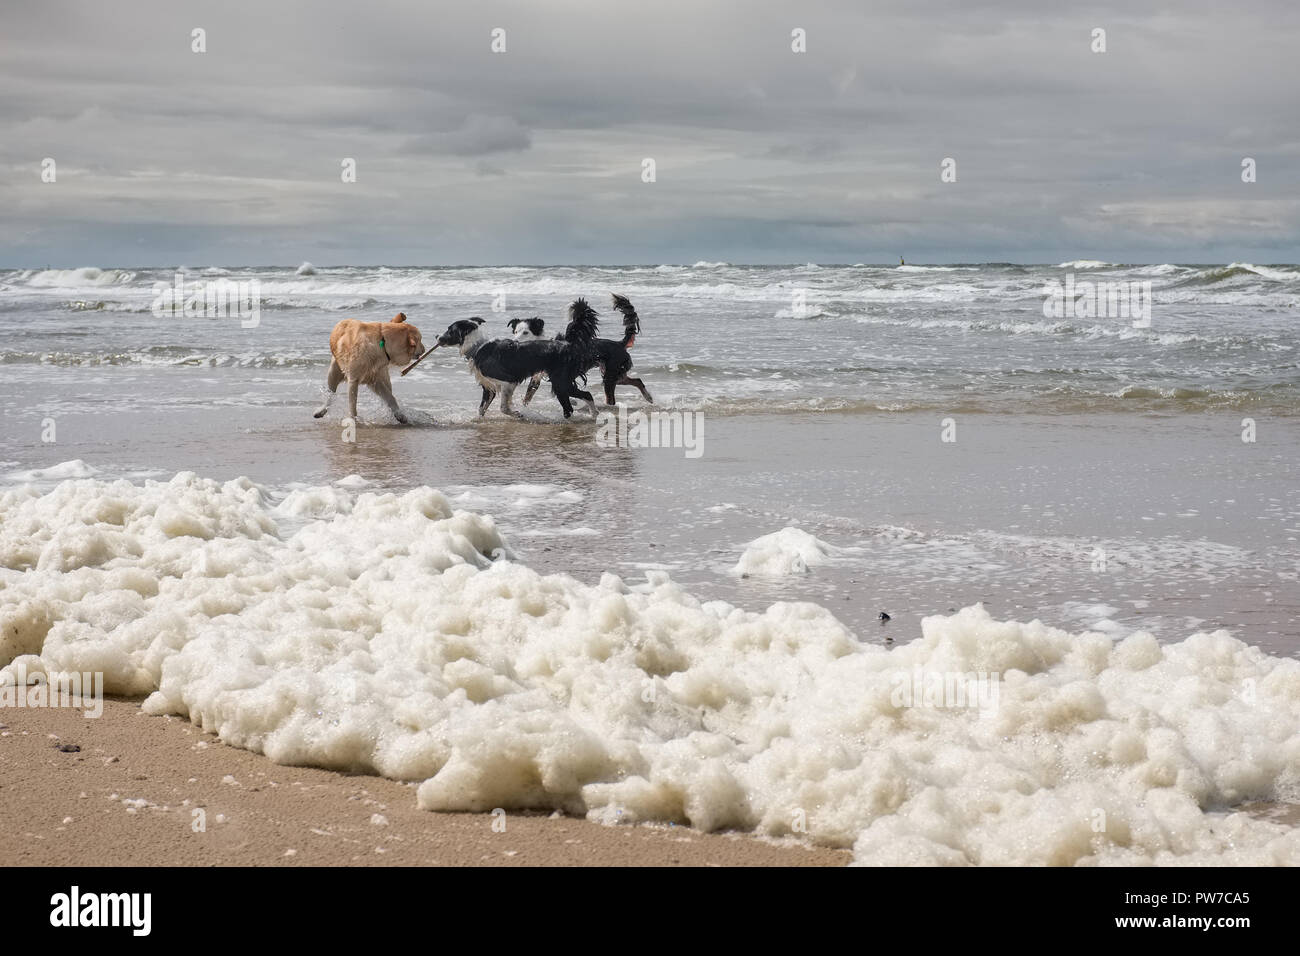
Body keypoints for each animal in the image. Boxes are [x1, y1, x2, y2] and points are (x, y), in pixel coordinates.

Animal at [434, 299, 600, 418]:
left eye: (450, 330)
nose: (436, 336)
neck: (478, 346)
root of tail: (568, 344)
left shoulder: (509, 381)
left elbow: (503, 407)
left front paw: (515, 414)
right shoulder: (489, 387)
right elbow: (481, 409)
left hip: (560, 382)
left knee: (582, 397)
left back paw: (591, 415)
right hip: (560, 382)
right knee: (574, 403)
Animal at [512, 295, 655, 408]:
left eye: (525, 332)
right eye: (515, 331)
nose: (514, 341)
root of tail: (619, 343)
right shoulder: (538, 375)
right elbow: (529, 393)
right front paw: (524, 405)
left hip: (610, 376)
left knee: (612, 399)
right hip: (615, 374)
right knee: (637, 380)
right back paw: (649, 397)